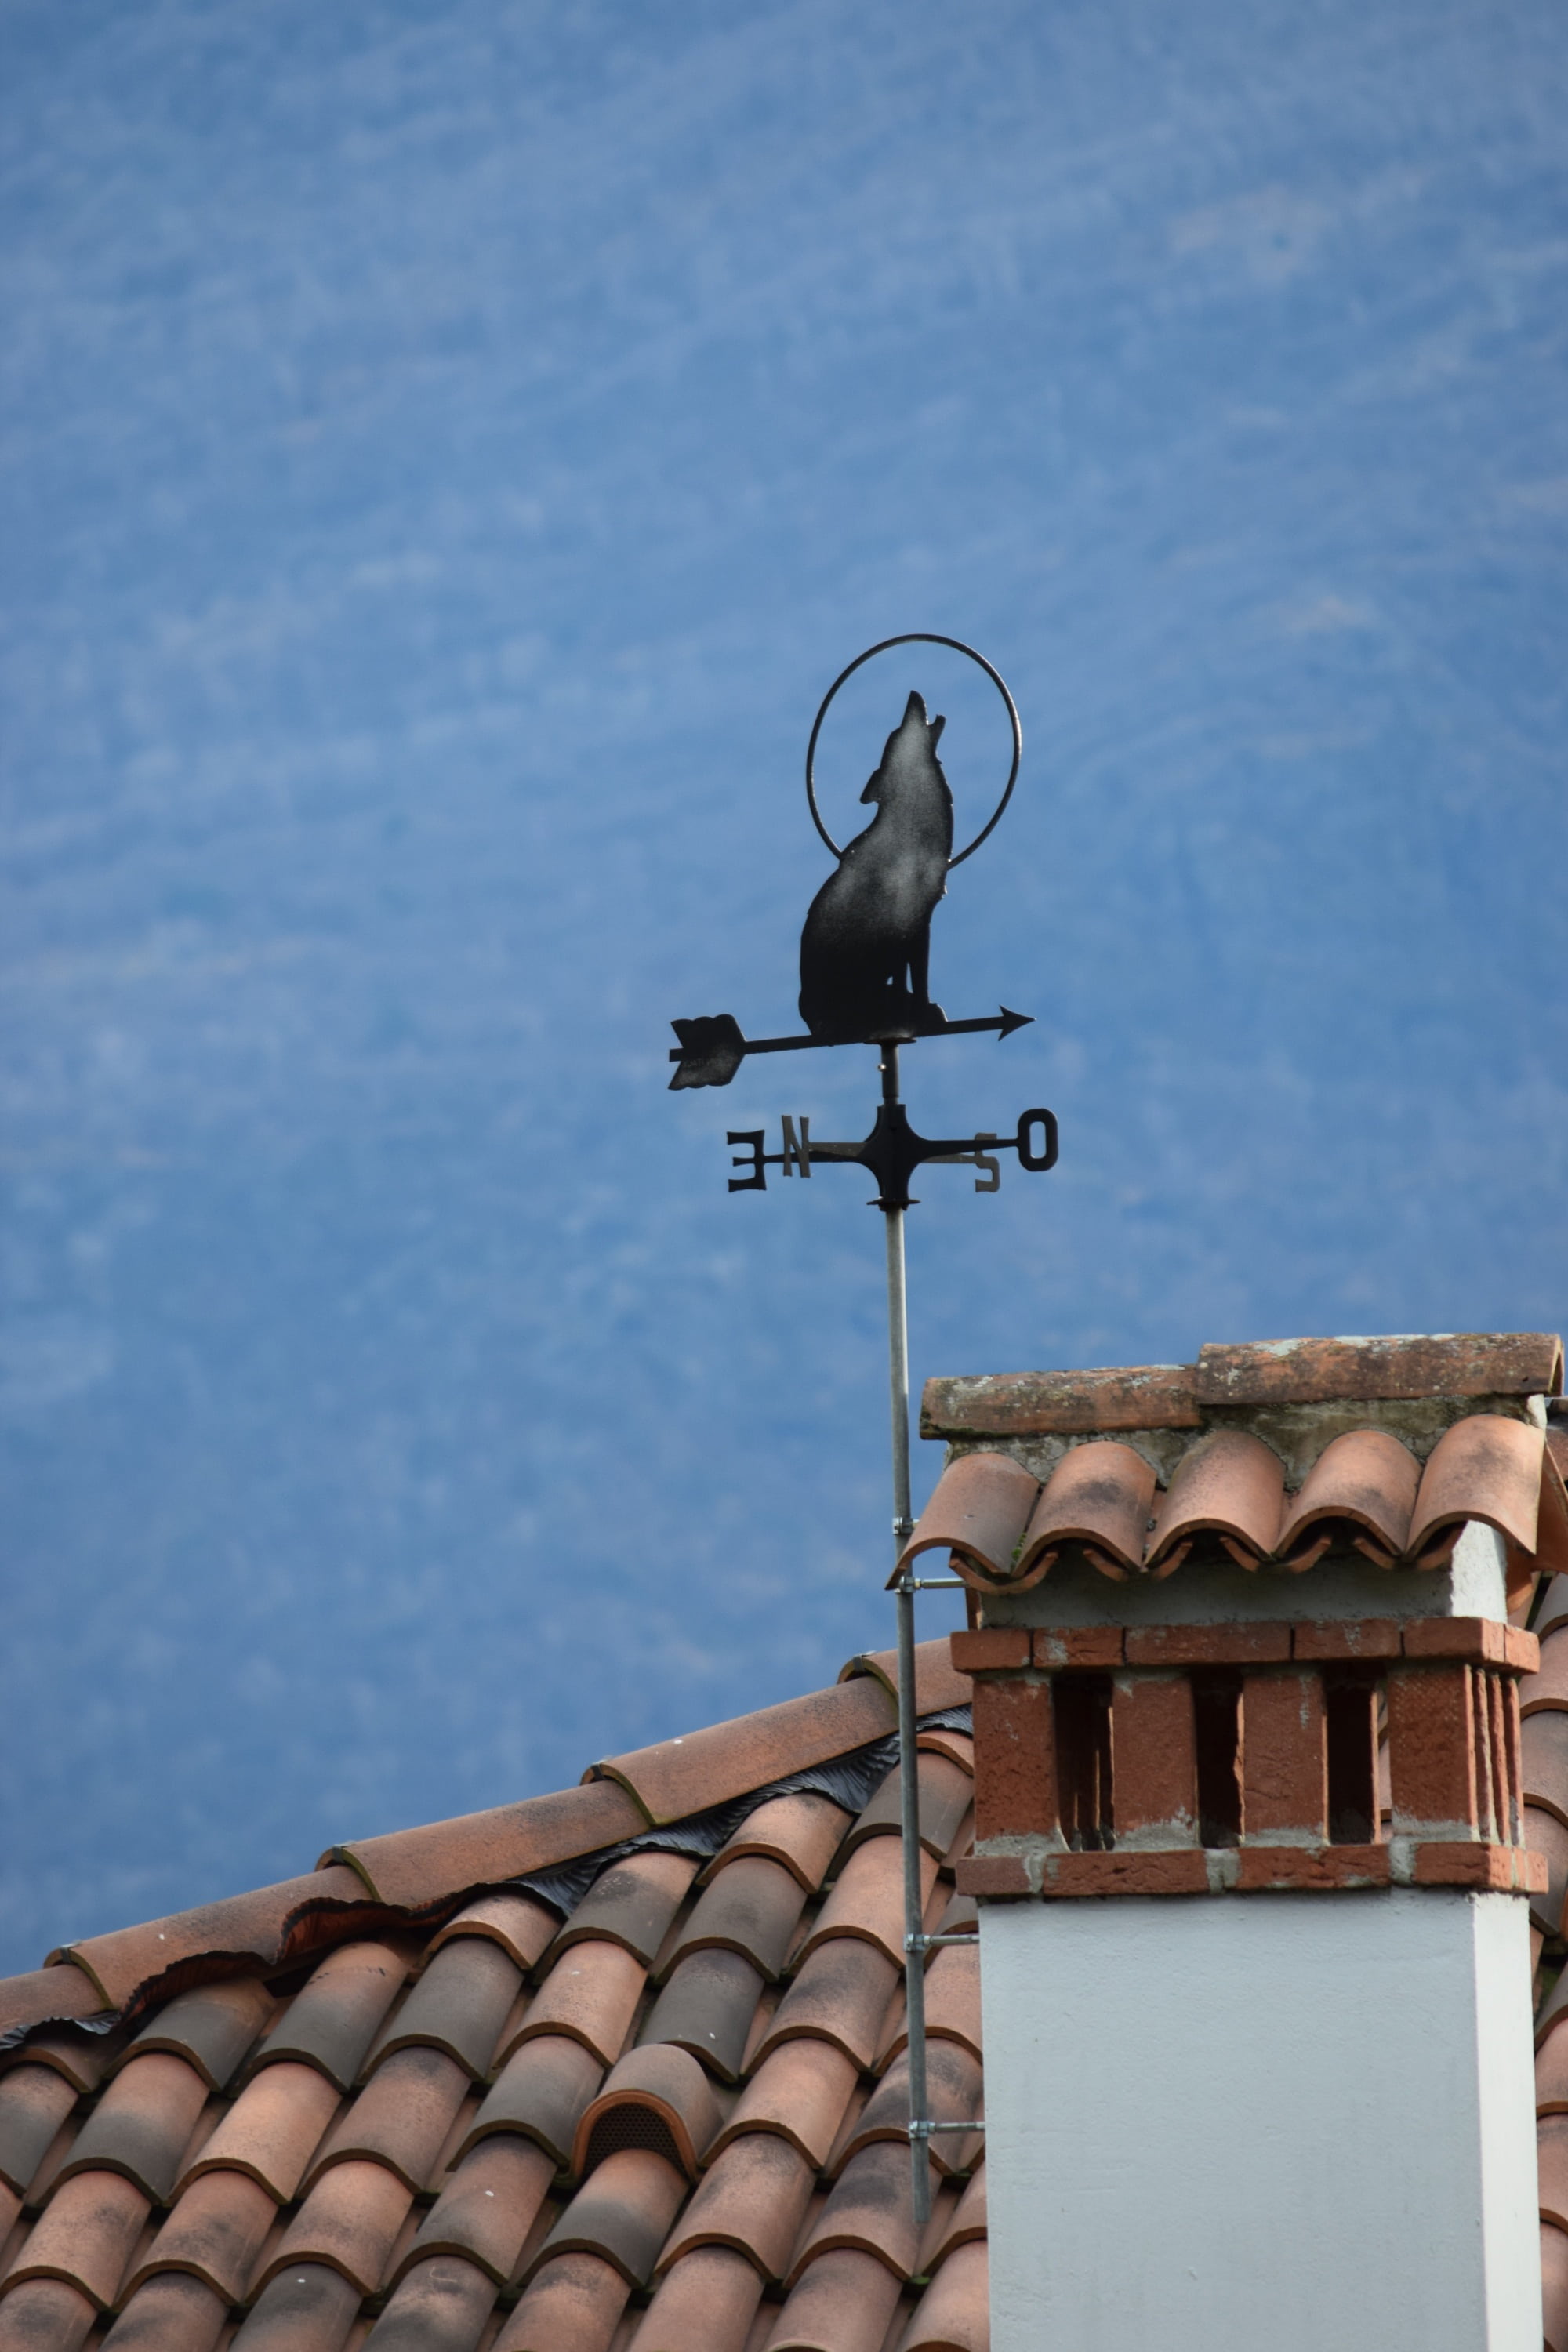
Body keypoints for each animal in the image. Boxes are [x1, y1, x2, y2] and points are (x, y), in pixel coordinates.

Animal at [798, 690, 954, 1039]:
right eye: (896, 733)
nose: (913, 695)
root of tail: (810, 1023)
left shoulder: (920, 920)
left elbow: (911, 978)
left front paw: (917, 1010)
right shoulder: (908, 921)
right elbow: (917, 978)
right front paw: (920, 1013)